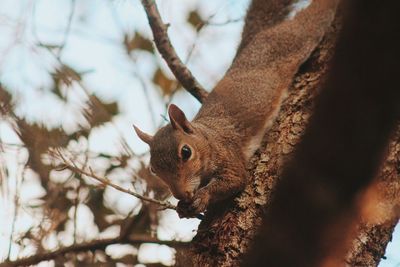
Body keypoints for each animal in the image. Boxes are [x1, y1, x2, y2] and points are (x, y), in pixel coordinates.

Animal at [134, 0, 338, 219]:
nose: (182, 195)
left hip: (296, 38)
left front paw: (202, 196)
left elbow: (236, 179)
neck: (208, 138)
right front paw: (182, 207)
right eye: (153, 169)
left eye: (186, 152)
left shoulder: (228, 153)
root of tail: (255, 40)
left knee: (311, 20)